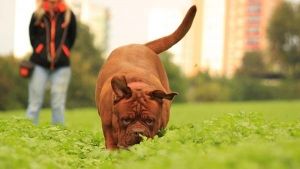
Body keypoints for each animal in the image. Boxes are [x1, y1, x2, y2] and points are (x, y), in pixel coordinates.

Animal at [95, 5, 196, 149]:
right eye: (126, 120)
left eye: (149, 121)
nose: (138, 132)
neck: (137, 85)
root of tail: (142, 45)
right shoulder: (108, 128)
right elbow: (111, 143)